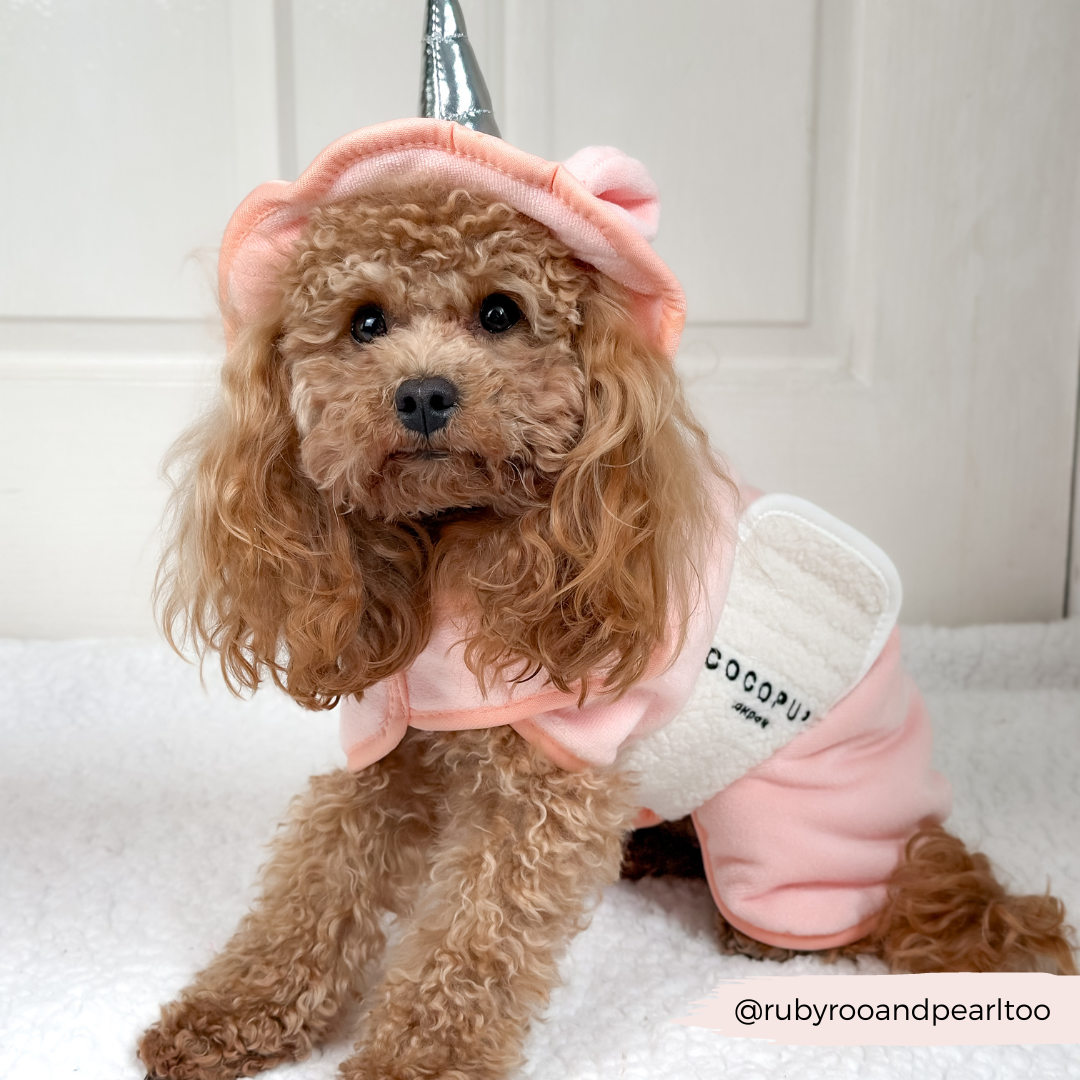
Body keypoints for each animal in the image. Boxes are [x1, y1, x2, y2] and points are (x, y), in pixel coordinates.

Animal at [141, 177, 1071, 1080]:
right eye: (364, 321)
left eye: (501, 312)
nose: (424, 393)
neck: (455, 548)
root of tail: (931, 836)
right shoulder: (393, 751)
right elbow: (317, 883)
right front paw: (232, 1012)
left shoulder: (547, 780)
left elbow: (476, 933)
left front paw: (417, 1059)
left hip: (788, 834)